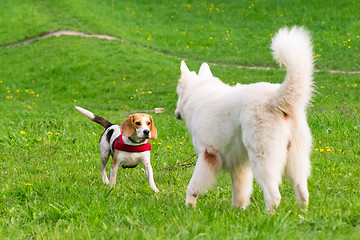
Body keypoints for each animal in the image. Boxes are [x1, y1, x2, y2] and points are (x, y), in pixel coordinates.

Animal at [176, 26, 314, 210]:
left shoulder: (207, 156)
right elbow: (240, 191)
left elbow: (193, 186)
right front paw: (237, 210)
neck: (198, 92)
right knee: (303, 192)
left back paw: (268, 214)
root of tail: (275, 99)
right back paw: (301, 214)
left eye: (178, 95)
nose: (176, 113)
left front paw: (189, 206)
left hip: (263, 159)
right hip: (295, 160)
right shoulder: (239, 165)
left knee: (274, 195)